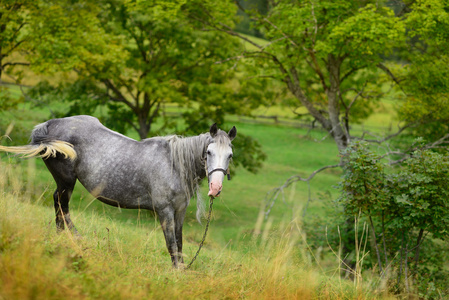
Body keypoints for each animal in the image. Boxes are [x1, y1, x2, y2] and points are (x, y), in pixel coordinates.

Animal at [0, 115, 236, 268]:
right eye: (208, 152)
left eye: (230, 155)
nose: (215, 188)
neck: (174, 165)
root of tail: (50, 124)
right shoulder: (165, 211)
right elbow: (170, 242)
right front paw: (176, 272)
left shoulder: (180, 211)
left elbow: (179, 241)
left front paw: (182, 270)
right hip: (66, 180)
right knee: (62, 204)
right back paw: (74, 238)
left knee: (58, 203)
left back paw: (62, 238)